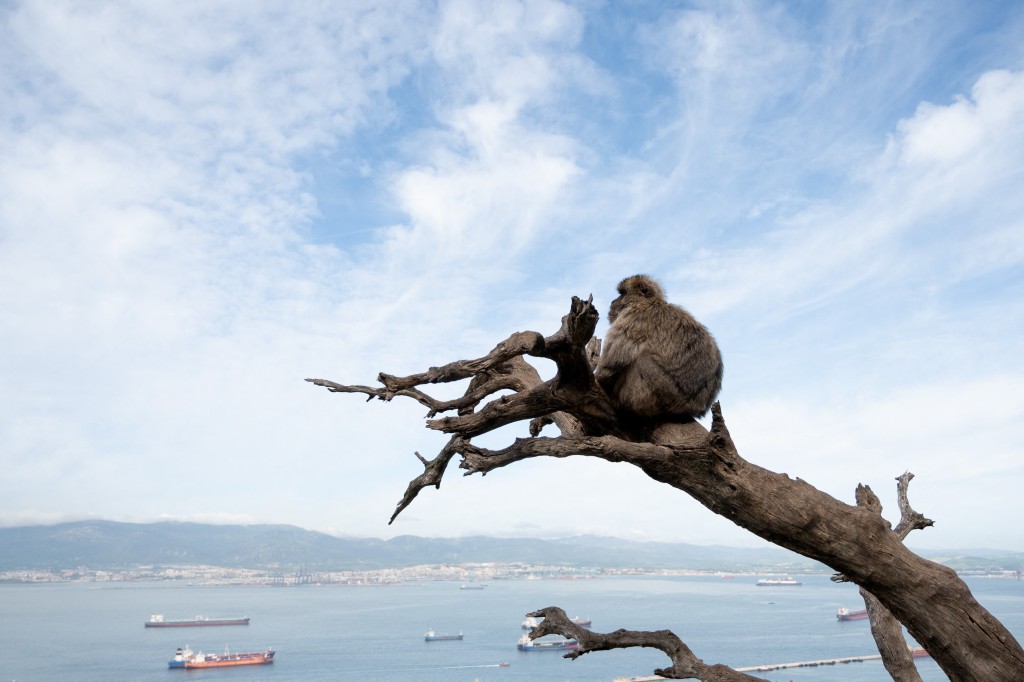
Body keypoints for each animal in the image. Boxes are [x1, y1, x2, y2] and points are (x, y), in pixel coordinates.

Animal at [595, 274, 723, 424]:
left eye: (623, 293)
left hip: (668, 393)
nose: (613, 301)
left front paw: (600, 376)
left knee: (642, 361)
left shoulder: (634, 317)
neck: (649, 302)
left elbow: (611, 364)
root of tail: (696, 406)